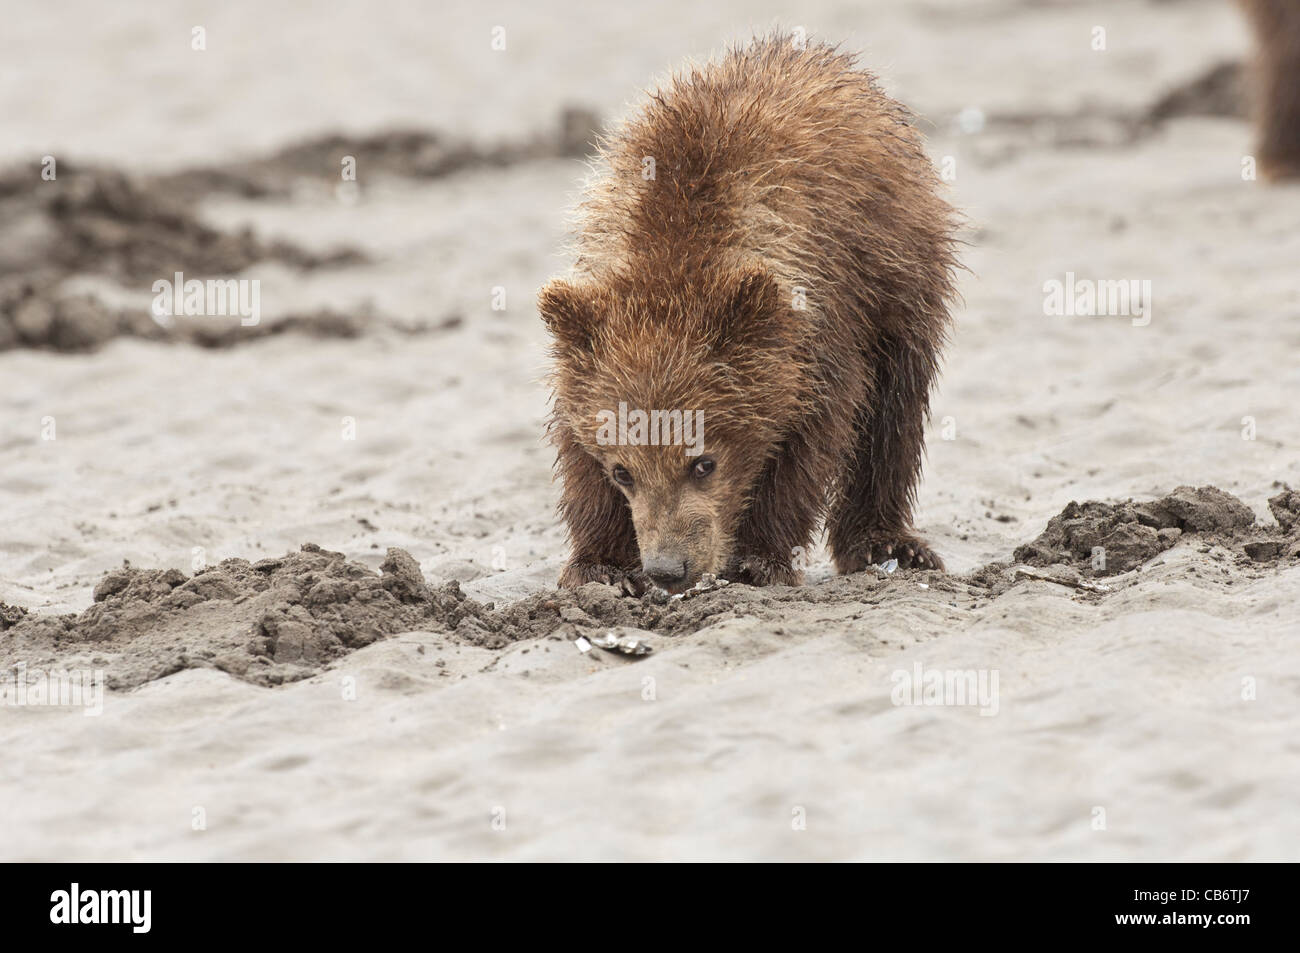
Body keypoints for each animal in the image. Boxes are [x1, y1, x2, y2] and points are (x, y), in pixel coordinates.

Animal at [539, 34, 961, 594]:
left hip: (901, 273)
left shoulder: (818, 327)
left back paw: (887, 544)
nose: (669, 569)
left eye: (703, 462)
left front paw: (757, 560)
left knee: (896, 404)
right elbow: (576, 443)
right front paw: (601, 566)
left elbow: (813, 437)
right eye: (622, 471)